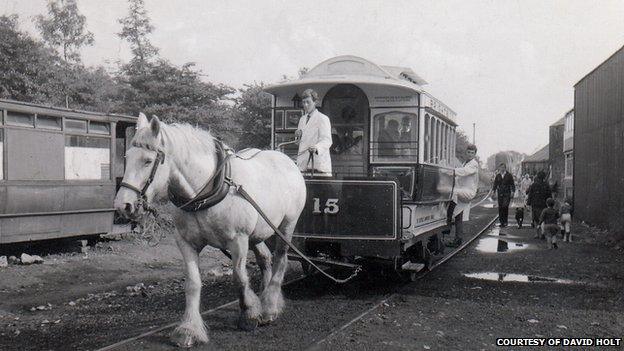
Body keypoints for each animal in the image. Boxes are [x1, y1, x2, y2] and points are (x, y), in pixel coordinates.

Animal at [114, 114, 308, 348]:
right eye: (127, 157)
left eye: (148, 161)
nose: (123, 205)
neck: (205, 193)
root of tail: (287, 159)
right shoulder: (186, 242)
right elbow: (192, 283)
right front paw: (189, 329)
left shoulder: (238, 240)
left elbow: (239, 277)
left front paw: (249, 314)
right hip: (259, 232)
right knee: (265, 258)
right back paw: (267, 299)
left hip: (286, 225)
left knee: (281, 258)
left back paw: (270, 306)